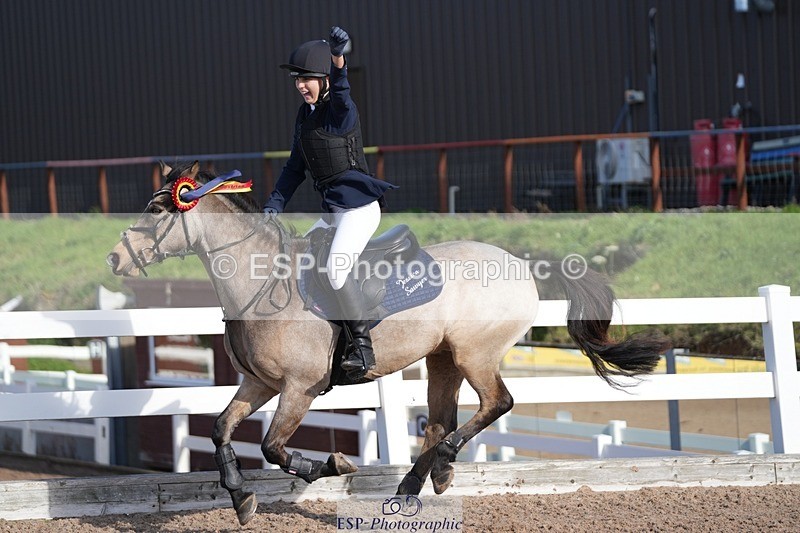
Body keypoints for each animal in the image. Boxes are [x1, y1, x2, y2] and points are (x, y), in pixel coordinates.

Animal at [107, 161, 670, 525]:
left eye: (160, 212)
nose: (115, 258)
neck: (260, 281)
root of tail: (523, 264)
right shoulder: (259, 384)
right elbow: (221, 429)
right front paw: (241, 499)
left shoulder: (299, 388)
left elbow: (271, 445)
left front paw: (331, 466)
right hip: (443, 359)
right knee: (442, 420)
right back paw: (415, 484)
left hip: (474, 355)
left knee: (496, 403)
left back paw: (442, 465)